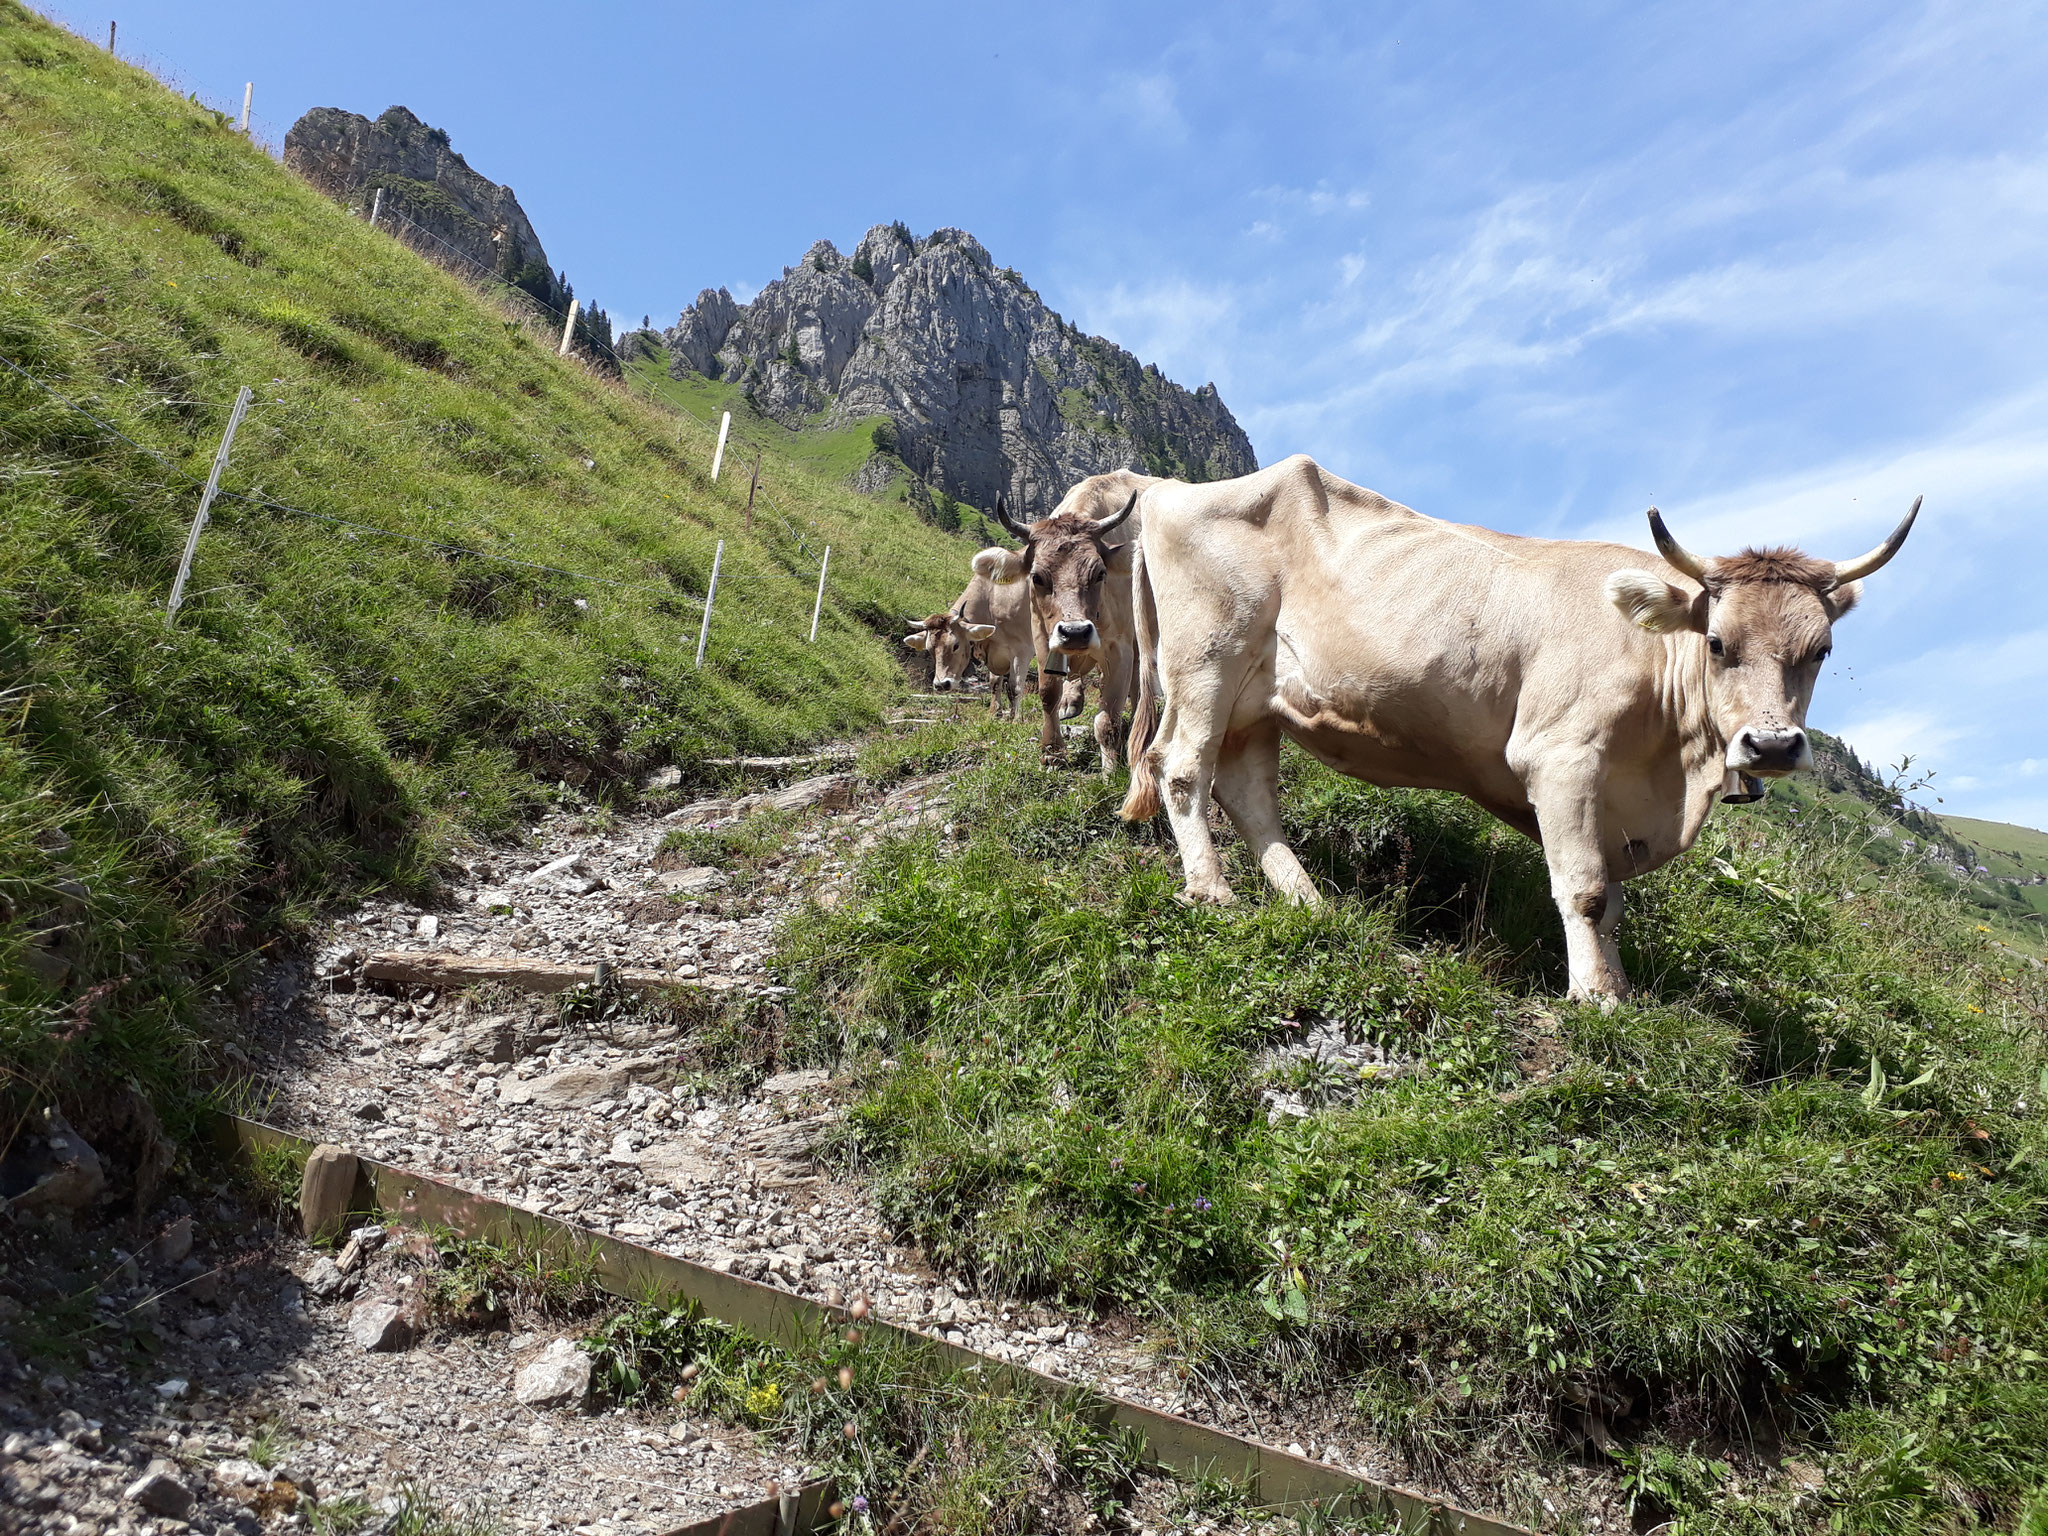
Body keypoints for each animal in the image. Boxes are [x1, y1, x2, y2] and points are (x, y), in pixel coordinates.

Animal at [970, 473, 1163, 774]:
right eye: (1037, 577)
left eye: (1100, 573)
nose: (1075, 633)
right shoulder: (1042, 636)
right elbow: (1048, 693)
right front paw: (1052, 752)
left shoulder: (1118, 645)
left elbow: (1107, 715)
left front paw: (1110, 768)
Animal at [1122, 454, 1916, 1011]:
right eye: (1718, 643)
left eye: (1822, 650)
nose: (1773, 746)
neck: (1672, 772)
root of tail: (1168, 493)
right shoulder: (1561, 758)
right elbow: (1587, 891)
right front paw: (1593, 1000)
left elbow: (1614, 904)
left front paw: (1618, 990)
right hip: (1206, 658)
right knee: (1181, 766)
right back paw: (1212, 891)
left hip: (1258, 700)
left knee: (1247, 792)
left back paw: (1308, 903)